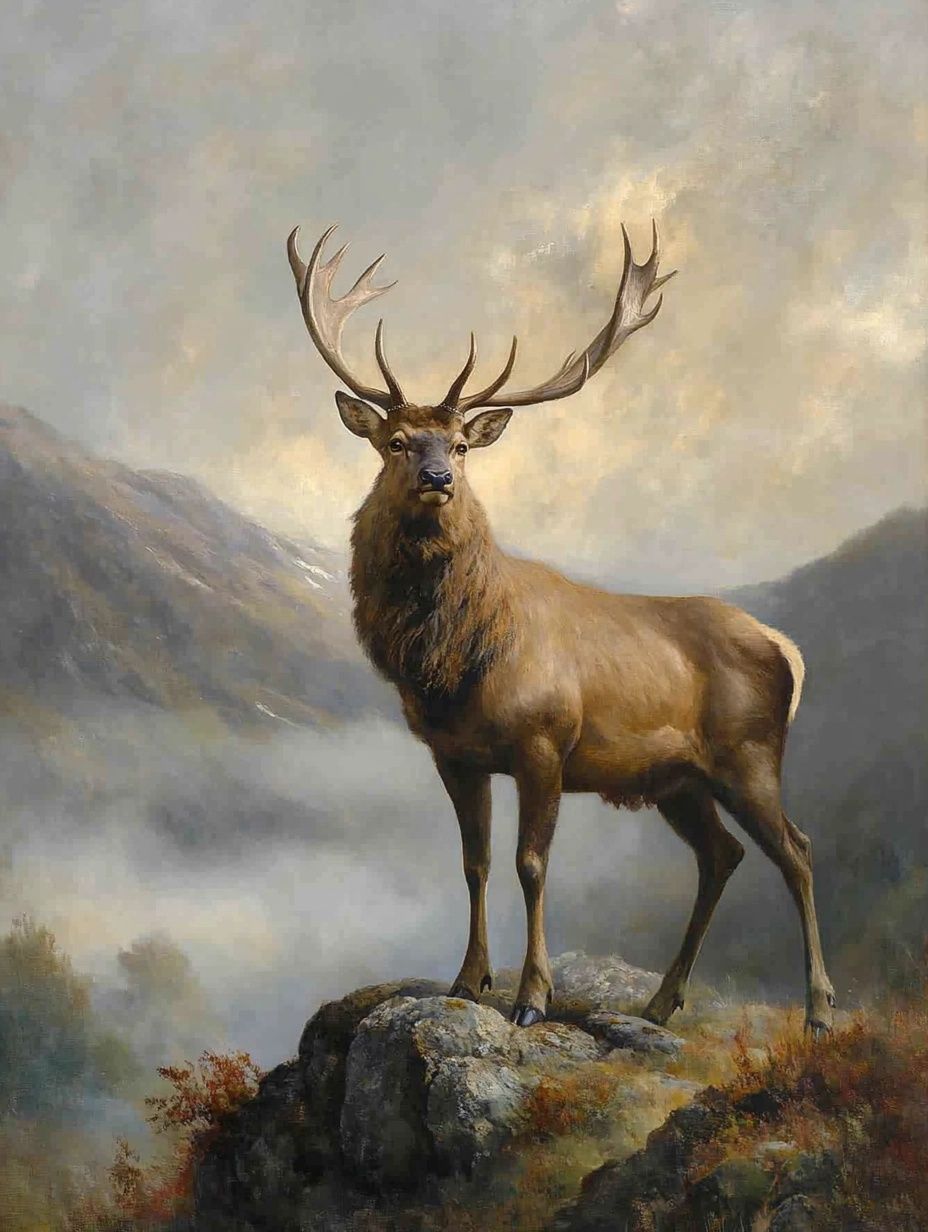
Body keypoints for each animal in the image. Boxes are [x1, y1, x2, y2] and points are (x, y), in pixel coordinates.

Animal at [285, 220, 836, 1035]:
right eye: (395, 442)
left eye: (460, 446)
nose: (437, 480)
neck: (457, 659)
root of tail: (789, 651)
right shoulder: (454, 754)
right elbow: (474, 861)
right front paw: (467, 980)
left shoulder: (545, 739)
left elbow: (531, 865)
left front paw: (532, 996)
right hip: (680, 779)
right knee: (722, 857)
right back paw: (662, 1001)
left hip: (749, 753)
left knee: (796, 850)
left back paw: (820, 1010)